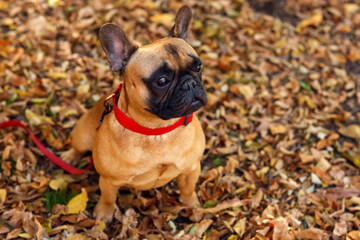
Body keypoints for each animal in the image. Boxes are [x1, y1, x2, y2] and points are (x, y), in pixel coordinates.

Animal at [61, 5, 207, 223]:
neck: (157, 131)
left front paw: (191, 204)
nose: (190, 83)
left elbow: (188, 188)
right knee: (78, 147)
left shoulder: (191, 168)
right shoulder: (109, 181)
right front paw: (103, 214)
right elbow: (108, 198)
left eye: (198, 67)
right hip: (83, 135)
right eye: (162, 81)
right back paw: (70, 156)